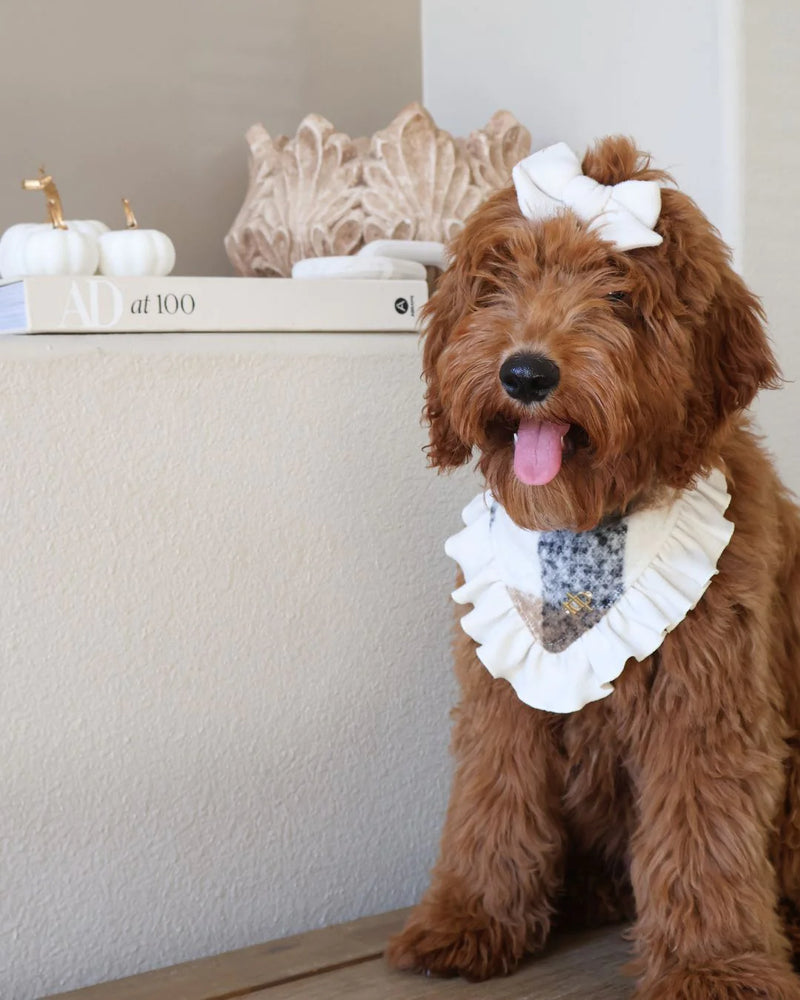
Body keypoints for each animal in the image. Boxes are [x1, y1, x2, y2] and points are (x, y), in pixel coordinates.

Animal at [386, 135, 800, 1000]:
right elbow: (490, 802)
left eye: (617, 291)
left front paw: (715, 965)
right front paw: (469, 918)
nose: (525, 374)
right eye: (500, 279)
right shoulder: (502, 699)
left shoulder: (706, 706)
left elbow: (706, 833)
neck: (584, 529)